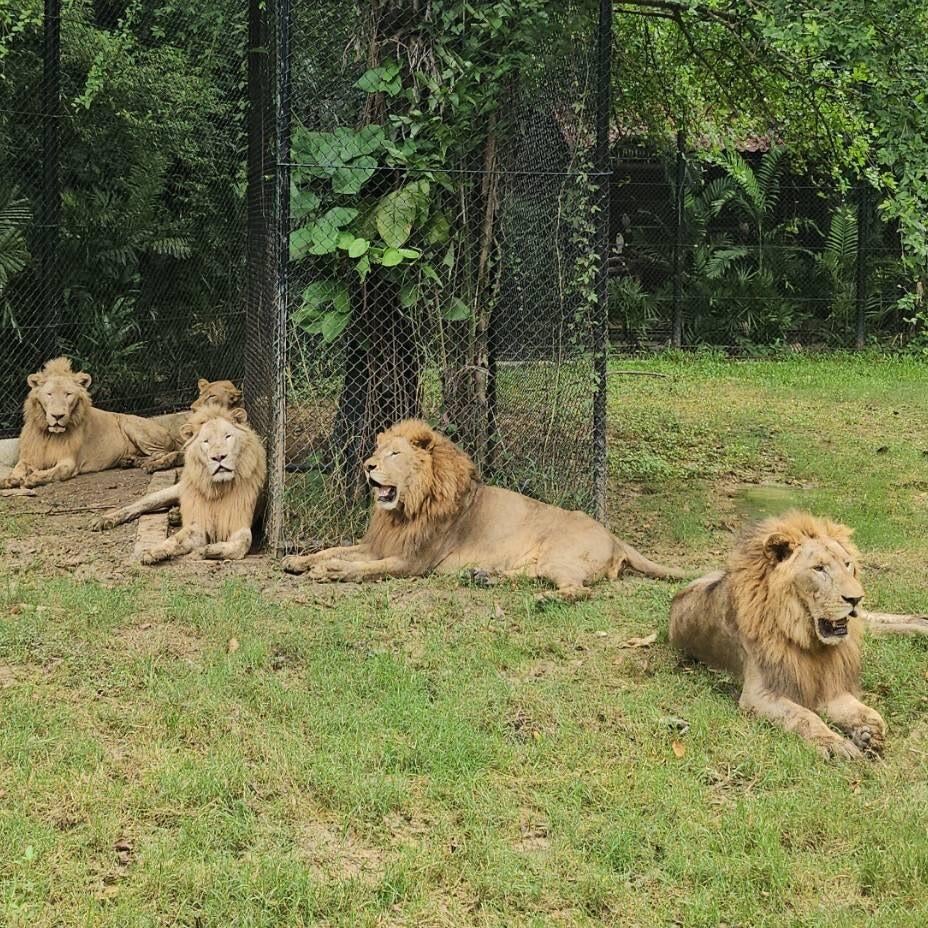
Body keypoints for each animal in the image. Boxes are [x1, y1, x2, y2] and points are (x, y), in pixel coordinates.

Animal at [0, 357, 175, 490]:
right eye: (49, 394)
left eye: (68, 394)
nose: (57, 416)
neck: (50, 434)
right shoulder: (30, 457)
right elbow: (18, 467)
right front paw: (10, 480)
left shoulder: (69, 462)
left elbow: (56, 472)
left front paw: (33, 478)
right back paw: (130, 461)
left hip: (132, 425)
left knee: (164, 453)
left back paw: (151, 464)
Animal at [91, 405, 266, 564]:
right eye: (206, 442)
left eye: (228, 436)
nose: (218, 457)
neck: (219, 488)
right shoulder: (199, 523)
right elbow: (176, 539)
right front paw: (154, 552)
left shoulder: (239, 522)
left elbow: (240, 546)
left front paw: (202, 551)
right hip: (168, 492)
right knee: (139, 505)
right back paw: (105, 519)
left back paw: (174, 514)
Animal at [282, 418, 685, 598]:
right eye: (378, 450)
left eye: (394, 454)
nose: (367, 465)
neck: (405, 510)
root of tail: (613, 536)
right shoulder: (379, 544)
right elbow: (334, 548)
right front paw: (299, 560)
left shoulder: (412, 562)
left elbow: (362, 569)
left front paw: (330, 571)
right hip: (541, 561)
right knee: (531, 575)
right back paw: (485, 577)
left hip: (561, 555)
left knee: (577, 590)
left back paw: (542, 600)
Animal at [669, 510, 928, 760]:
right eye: (819, 568)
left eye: (848, 565)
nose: (856, 598)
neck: (807, 636)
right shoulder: (759, 693)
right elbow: (804, 716)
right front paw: (835, 744)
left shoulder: (830, 685)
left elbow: (866, 712)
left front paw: (869, 732)